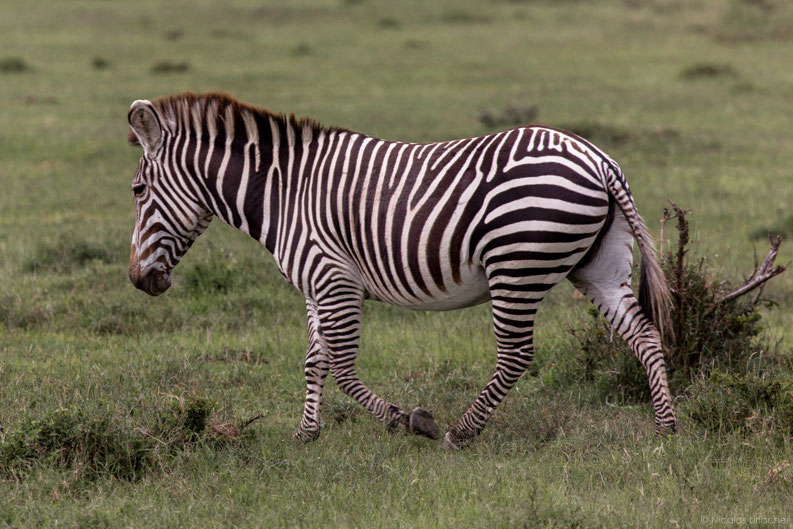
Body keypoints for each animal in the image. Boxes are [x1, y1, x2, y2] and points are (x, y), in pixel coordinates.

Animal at [127, 92, 677, 448]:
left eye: (136, 191)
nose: (138, 280)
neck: (283, 192)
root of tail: (599, 159)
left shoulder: (334, 279)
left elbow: (342, 367)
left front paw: (408, 420)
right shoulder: (314, 286)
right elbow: (314, 361)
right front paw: (306, 432)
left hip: (515, 264)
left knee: (516, 354)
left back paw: (460, 432)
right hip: (598, 266)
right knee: (645, 334)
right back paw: (665, 428)